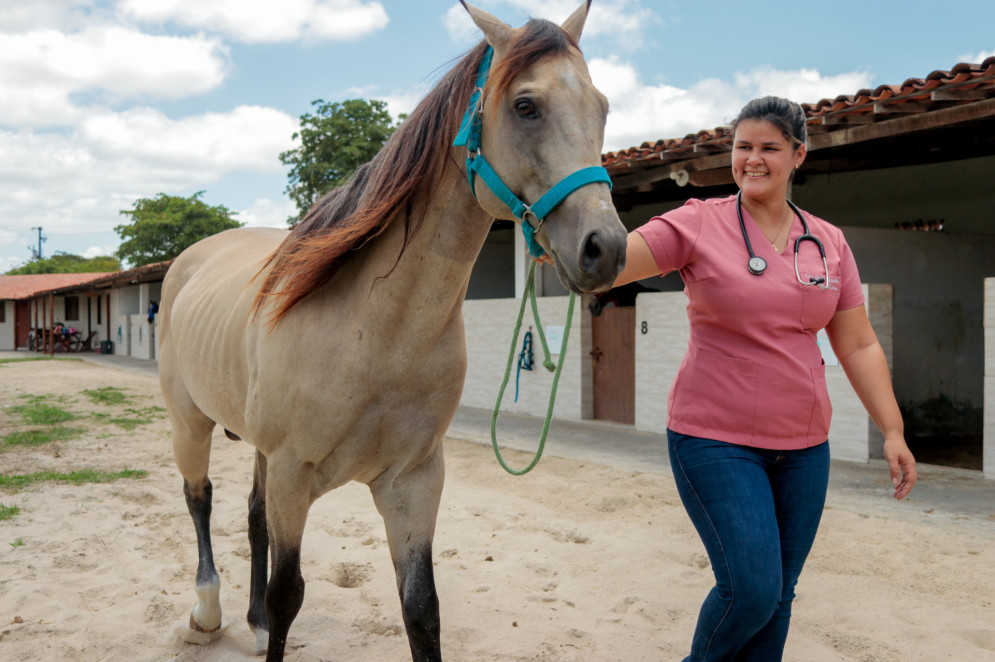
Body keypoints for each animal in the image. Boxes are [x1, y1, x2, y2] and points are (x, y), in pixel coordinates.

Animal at [156, 2, 624, 660]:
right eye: (526, 105)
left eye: (602, 107)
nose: (604, 248)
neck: (376, 331)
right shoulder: (293, 475)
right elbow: (287, 596)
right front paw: (260, 616)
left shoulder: (413, 482)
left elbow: (421, 609)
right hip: (191, 424)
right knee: (199, 499)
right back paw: (207, 610)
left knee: (249, 517)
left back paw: (248, 620)